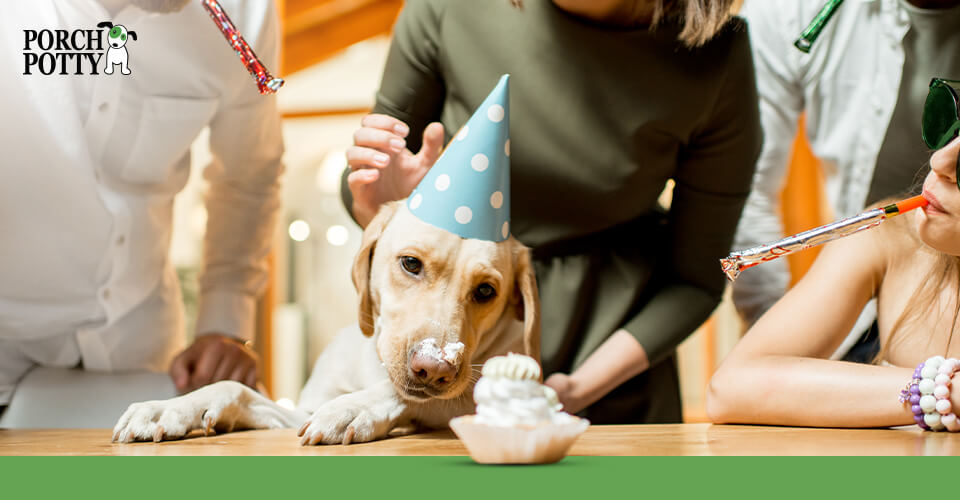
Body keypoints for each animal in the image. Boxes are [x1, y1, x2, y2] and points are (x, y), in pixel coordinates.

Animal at [112, 201, 540, 444]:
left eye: (485, 291)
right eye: (410, 263)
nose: (434, 370)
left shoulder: (471, 397)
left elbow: (400, 395)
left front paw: (352, 410)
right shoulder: (299, 412)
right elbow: (234, 388)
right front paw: (170, 409)